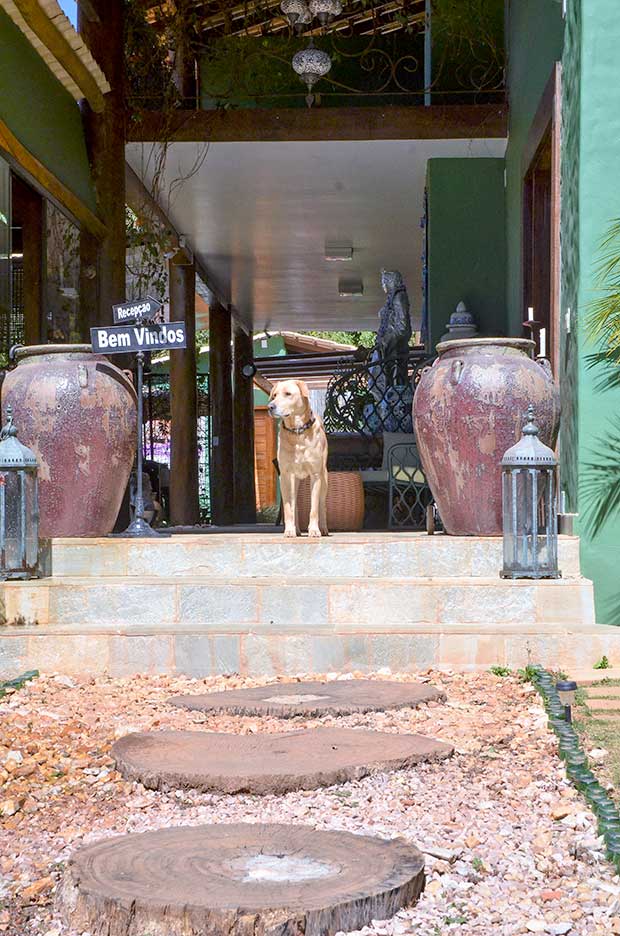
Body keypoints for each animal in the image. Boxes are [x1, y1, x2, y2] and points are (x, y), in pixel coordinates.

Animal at [268, 380, 330, 536]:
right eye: (274, 395)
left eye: (288, 394)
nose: (270, 407)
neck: (297, 432)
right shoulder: (285, 476)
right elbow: (289, 508)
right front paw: (290, 530)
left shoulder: (315, 475)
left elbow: (314, 508)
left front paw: (314, 530)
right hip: (293, 481)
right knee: (293, 504)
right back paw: (295, 529)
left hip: (324, 478)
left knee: (322, 504)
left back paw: (323, 528)